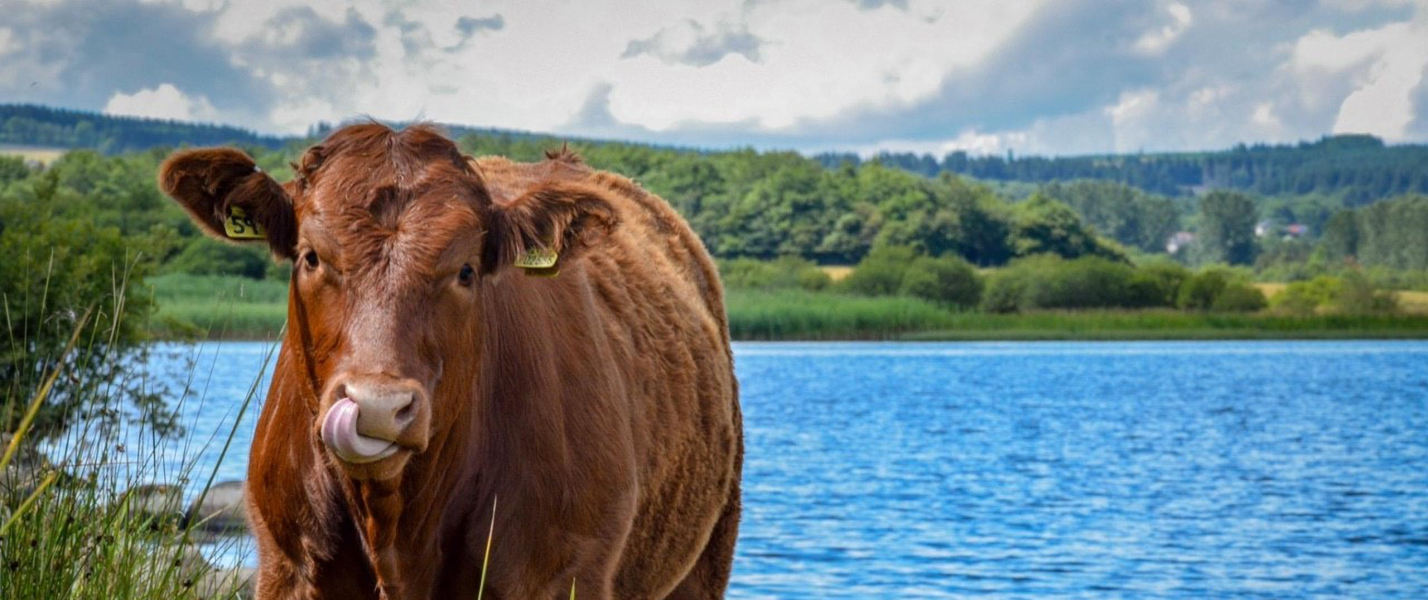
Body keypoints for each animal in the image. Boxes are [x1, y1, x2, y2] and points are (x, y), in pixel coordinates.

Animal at [160, 124, 748, 597]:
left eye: (466, 270)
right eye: (310, 256)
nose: (378, 407)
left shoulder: (560, 574)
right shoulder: (291, 569)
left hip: (704, 562)